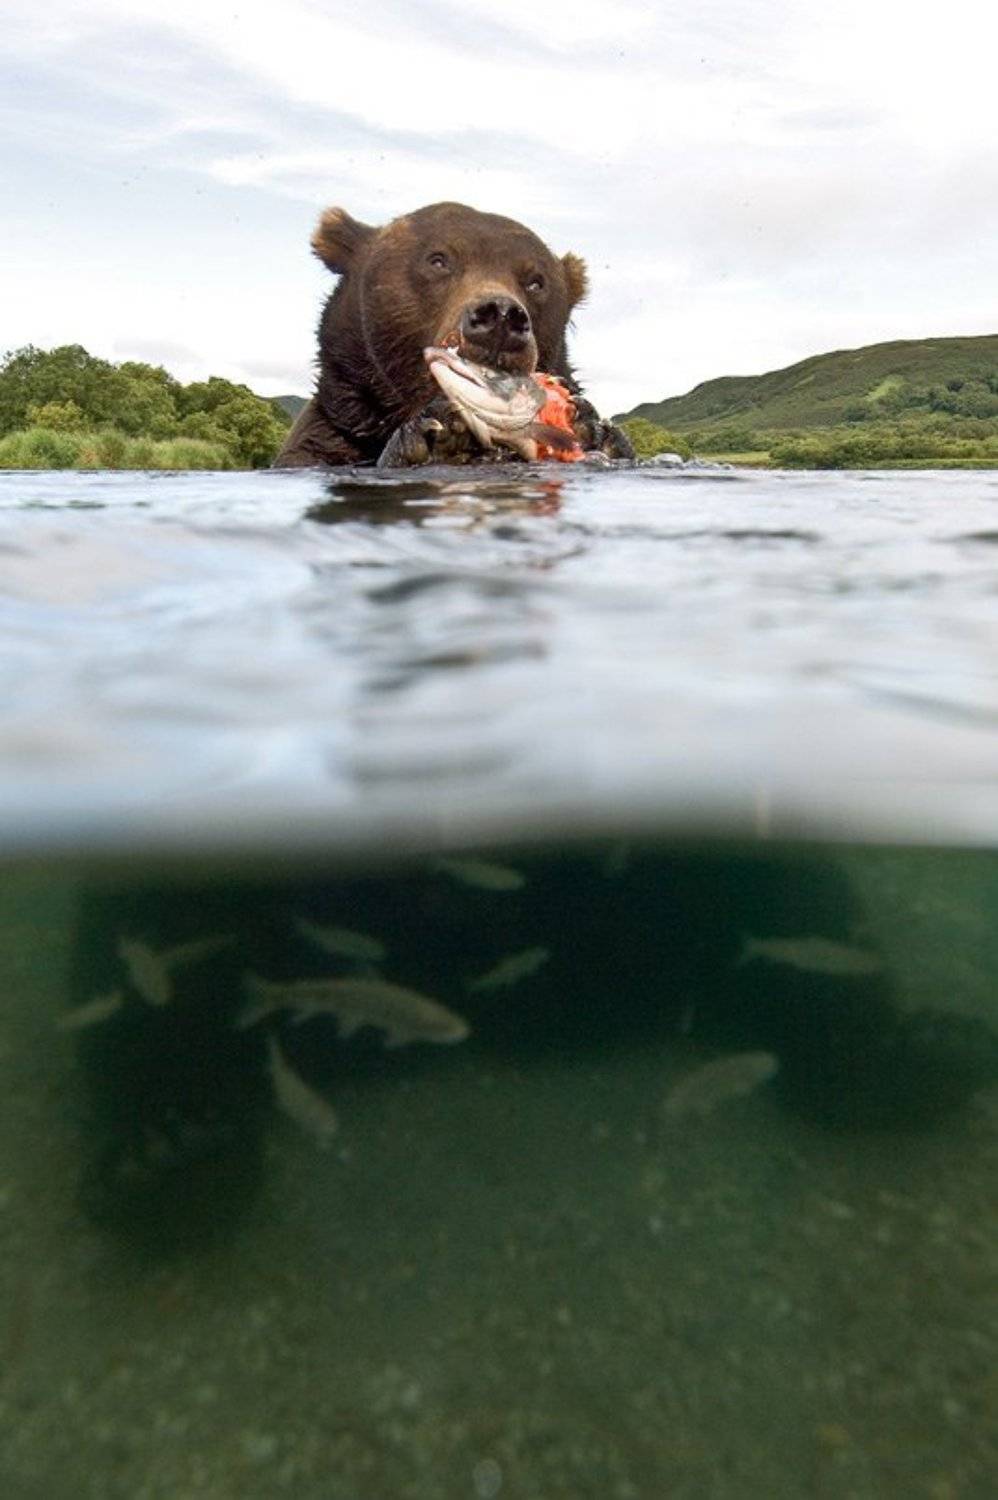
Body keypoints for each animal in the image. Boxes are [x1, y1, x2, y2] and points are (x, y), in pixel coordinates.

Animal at [273, 201, 633, 468]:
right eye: (438, 260)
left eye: (536, 281)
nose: (501, 316)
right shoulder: (328, 440)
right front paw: (433, 432)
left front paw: (594, 428)